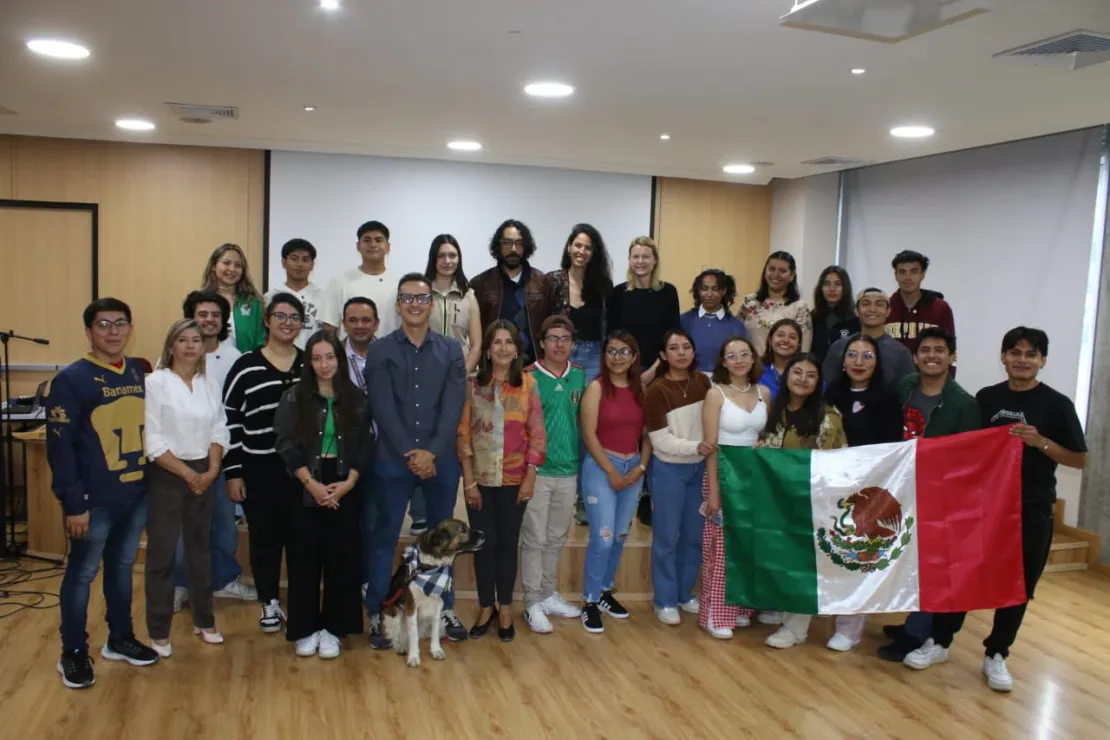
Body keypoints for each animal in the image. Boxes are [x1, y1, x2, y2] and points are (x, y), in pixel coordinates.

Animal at [381, 519, 481, 670]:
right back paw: (400, 646)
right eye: (463, 529)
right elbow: (413, 636)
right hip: (395, 613)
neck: (430, 569)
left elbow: (433, 631)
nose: (483, 533)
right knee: (397, 636)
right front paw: (413, 657)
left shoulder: (438, 605)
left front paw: (436, 650)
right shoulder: (411, 606)